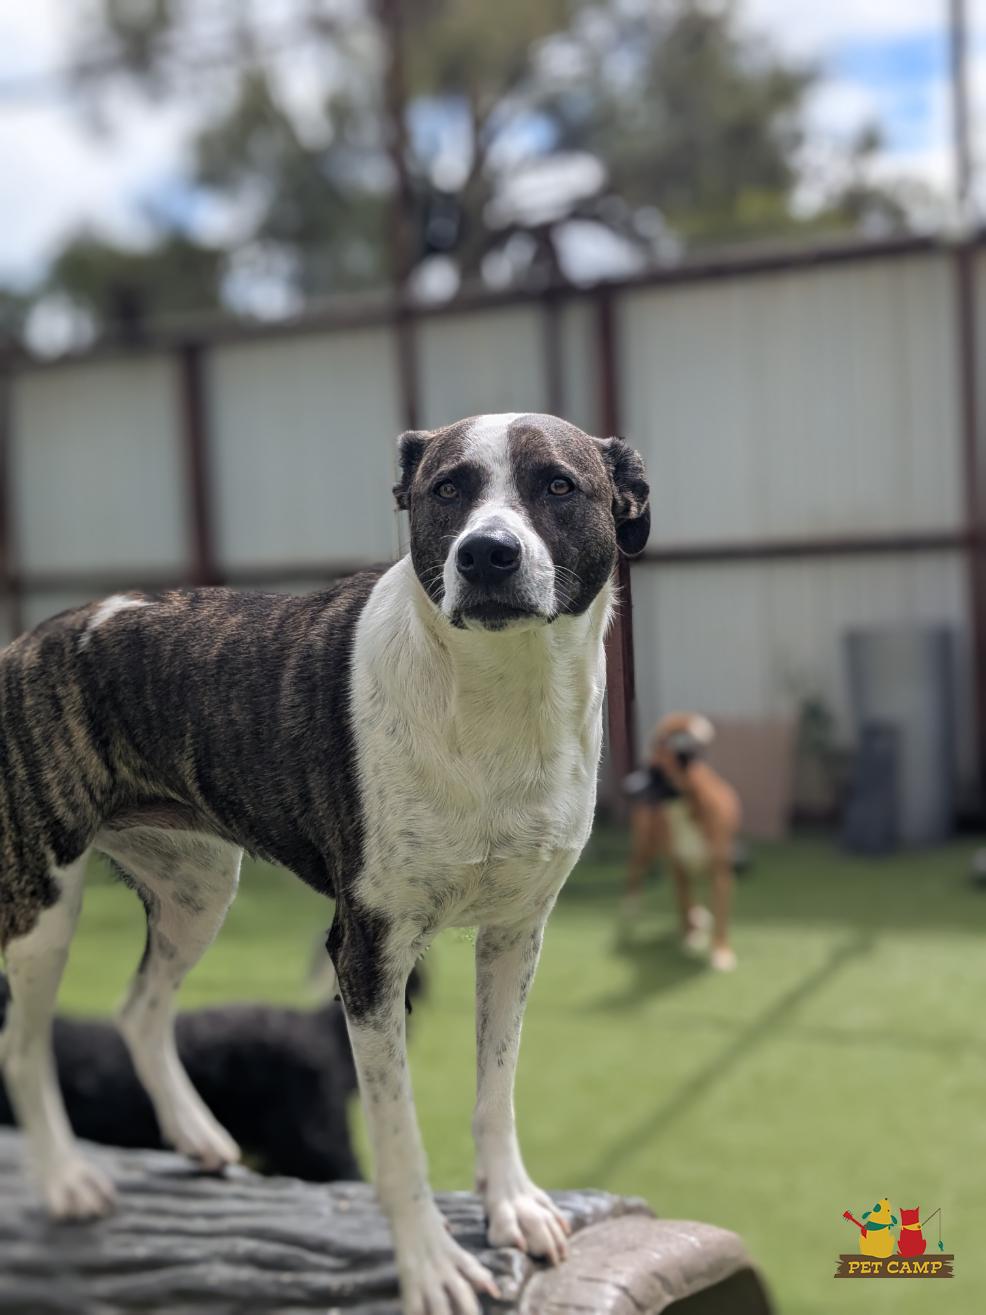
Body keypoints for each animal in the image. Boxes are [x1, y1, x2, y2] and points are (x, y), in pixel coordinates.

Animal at [0, 412, 649, 1315]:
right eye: (447, 488)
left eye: (558, 484)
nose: (486, 553)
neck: (494, 698)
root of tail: (27, 641)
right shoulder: (369, 952)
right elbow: (398, 1131)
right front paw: (431, 1264)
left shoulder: (517, 934)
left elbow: (496, 1088)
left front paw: (512, 1203)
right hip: (45, 905)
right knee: (23, 1046)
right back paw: (66, 1179)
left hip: (198, 889)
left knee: (139, 1007)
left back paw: (197, 1135)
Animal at [624, 713, 740, 971]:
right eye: (642, 768)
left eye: (658, 773)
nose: (627, 788)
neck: (684, 809)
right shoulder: (679, 868)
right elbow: (684, 903)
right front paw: (690, 937)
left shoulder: (720, 875)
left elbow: (720, 916)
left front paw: (721, 952)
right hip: (646, 847)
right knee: (636, 872)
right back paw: (632, 909)